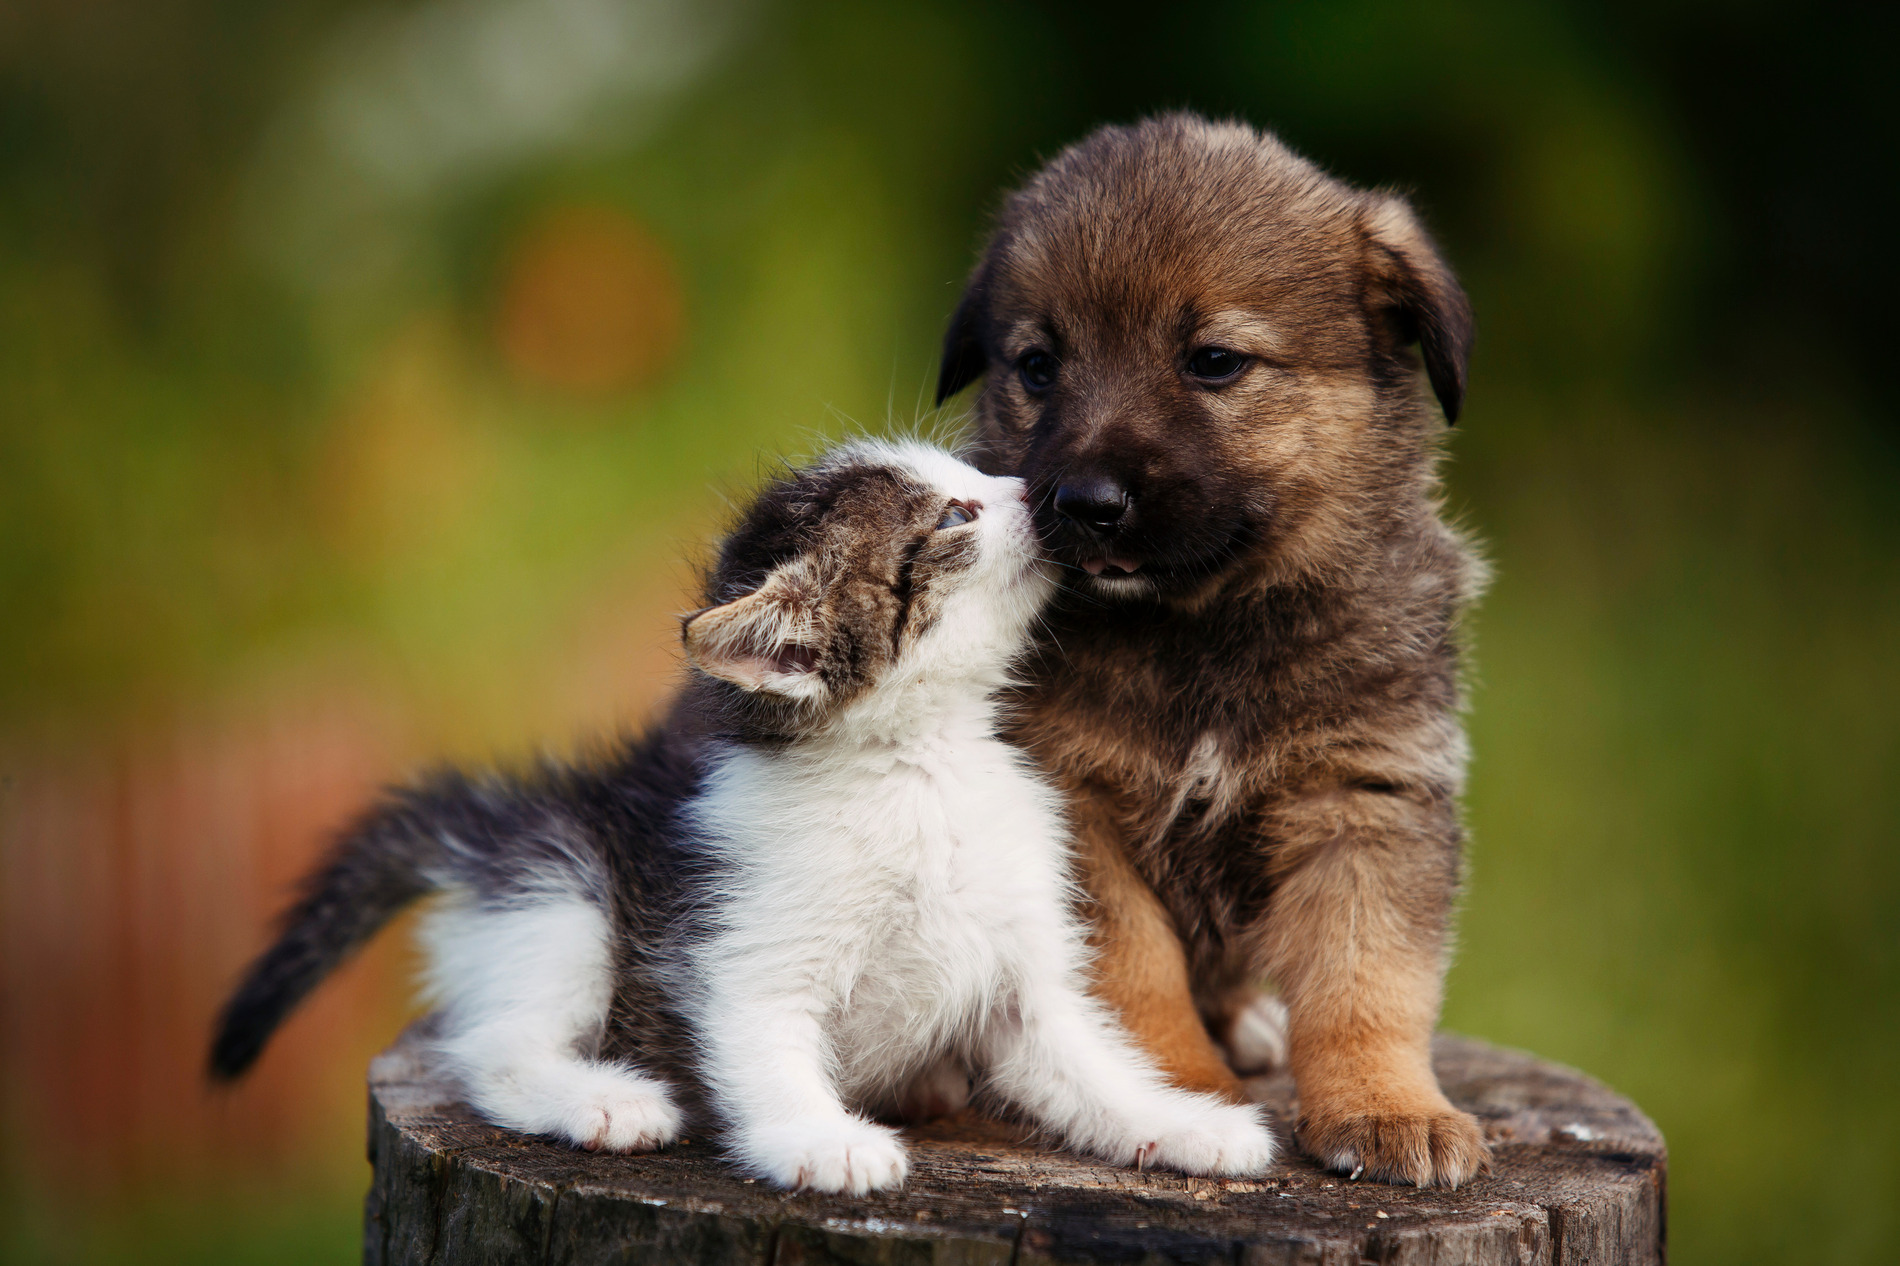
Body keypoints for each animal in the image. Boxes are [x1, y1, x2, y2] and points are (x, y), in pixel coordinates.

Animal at [211, 439, 1276, 1186]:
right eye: (955, 512)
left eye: (974, 475)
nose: (1047, 491)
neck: (919, 768)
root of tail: (502, 823)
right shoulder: (741, 951)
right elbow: (766, 1052)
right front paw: (823, 1141)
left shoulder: (1024, 976)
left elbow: (1090, 1064)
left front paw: (1181, 1126)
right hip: (560, 896)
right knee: (494, 1045)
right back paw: (605, 1102)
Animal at [942, 110, 1489, 1186]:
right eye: (1038, 366)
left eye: (1214, 361)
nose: (1086, 503)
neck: (1202, 630)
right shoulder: (1074, 805)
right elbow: (1130, 973)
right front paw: (1172, 1093)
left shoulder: (1364, 798)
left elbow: (1369, 979)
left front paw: (1388, 1108)